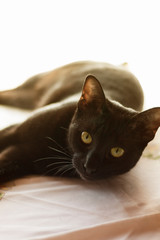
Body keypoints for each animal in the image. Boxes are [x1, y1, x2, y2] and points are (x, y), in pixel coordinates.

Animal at [0, 61, 159, 183]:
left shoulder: (18, 161)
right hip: (27, 93)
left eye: (117, 151)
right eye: (86, 136)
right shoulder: (12, 131)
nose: (89, 167)